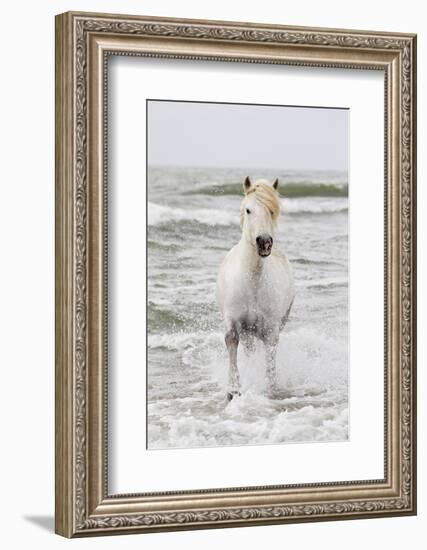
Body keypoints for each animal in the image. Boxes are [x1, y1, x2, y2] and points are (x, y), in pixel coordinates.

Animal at [217, 177, 294, 402]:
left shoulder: (271, 328)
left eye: (271, 210)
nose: (265, 242)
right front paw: (233, 390)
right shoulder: (233, 322)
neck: (253, 281)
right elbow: (232, 342)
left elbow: (270, 358)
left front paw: (270, 389)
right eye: (248, 210)